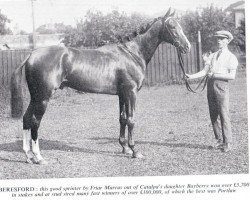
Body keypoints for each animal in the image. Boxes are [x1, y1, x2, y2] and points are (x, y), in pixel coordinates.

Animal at [9, 9, 189, 164]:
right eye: (172, 26)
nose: (187, 47)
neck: (132, 54)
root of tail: (31, 55)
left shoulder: (122, 94)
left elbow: (122, 119)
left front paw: (124, 148)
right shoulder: (131, 93)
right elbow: (131, 120)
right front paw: (135, 151)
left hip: (35, 97)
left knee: (26, 118)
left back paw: (28, 156)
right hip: (43, 98)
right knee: (35, 122)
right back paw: (38, 157)